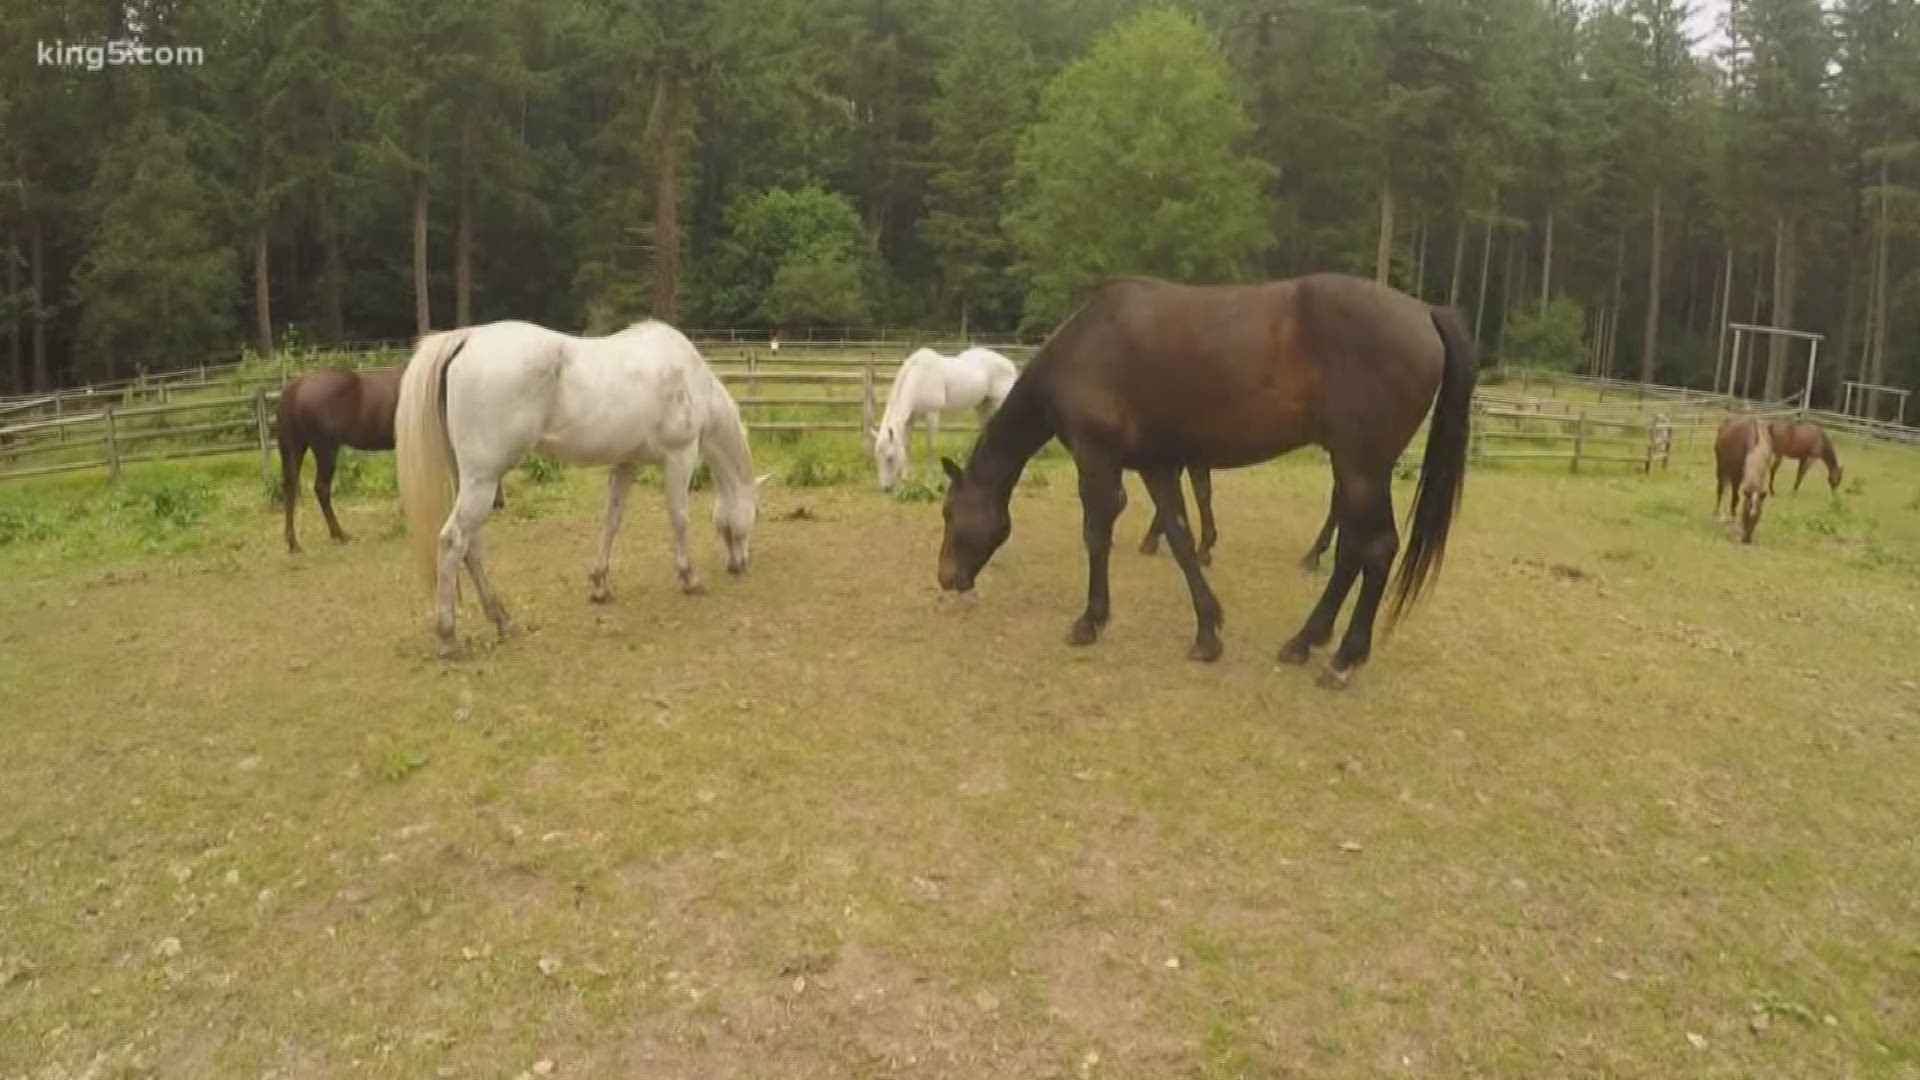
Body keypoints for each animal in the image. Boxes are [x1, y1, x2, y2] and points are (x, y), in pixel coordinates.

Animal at [395, 319, 764, 657]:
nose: (739, 565)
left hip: (469, 480)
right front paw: (690, 579)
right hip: (483, 480)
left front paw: (599, 586)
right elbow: (679, 518)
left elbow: (611, 521)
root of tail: (467, 337)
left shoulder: (626, 464)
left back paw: (501, 619)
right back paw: (448, 638)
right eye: (756, 515)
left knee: (470, 546)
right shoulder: (680, 457)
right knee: (453, 541)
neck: (689, 378)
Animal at [871, 345, 1021, 490]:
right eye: (877, 457)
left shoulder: (932, 414)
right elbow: (906, 446)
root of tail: (1009, 364)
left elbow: (931, 446)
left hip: (998, 402)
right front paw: (906, 478)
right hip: (983, 406)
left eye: (890, 458)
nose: (886, 488)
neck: (919, 378)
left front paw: (930, 480)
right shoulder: (910, 420)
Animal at [936, 272, 1474, 684]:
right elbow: (1180, 537)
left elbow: (1097, 534)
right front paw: (1208, 632)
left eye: (949, 512)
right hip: (1353, 468)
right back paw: (1305, 641)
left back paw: (1343, 659)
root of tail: (1425, 312)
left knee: (1376, 549)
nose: (946, 577)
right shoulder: (1157, 465)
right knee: (1350, 552)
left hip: (1362, 467)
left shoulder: (1097, 460)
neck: (1085, 347)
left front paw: (1090, 620)